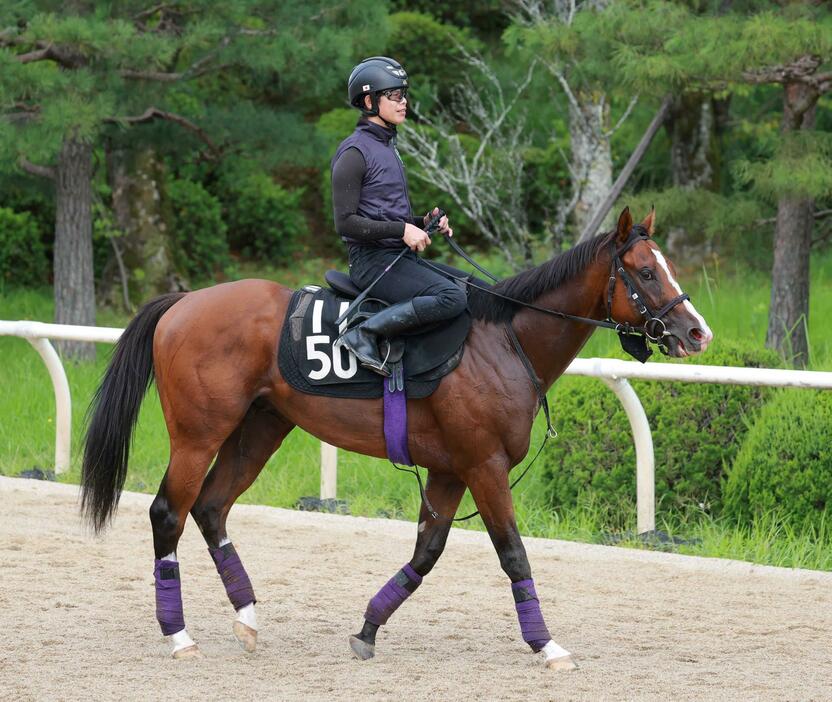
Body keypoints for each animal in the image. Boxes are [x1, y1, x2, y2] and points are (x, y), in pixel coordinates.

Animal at [81, 208, 712, 672]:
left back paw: (248, 617)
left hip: (260, 429)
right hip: (198, 434)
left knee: (212, 508)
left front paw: (367, 629)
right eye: (646, 272)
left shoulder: (450, 470)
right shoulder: (484, 466)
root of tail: (184, 301)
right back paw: (179, 635)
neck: (503, 341)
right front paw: (547, 644)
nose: (697, 332)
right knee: (169, 513)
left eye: (665, 266)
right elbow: (512, 553)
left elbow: (426, 553)